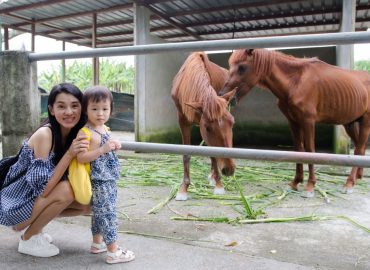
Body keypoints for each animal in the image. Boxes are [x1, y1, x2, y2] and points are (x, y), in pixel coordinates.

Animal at [171, 52, 236, 200]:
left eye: (232, 122)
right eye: (208, 128)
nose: (229, 169)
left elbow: (212, 154)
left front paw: (219, 185)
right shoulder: (182, 120)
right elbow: (186, 154)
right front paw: (183, 189)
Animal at [220, 48, 370, 196]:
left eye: (242, 67)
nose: (223, 95)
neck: (296, 81)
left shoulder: (308, 121)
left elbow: (310, 150)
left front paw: (310, 186)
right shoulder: (293, 121)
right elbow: (298, 149)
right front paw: (295, 182)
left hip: (365, 121)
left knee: (358, 149)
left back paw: (349, 183)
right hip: (350, 123)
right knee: (360, 147)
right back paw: (358, 177)